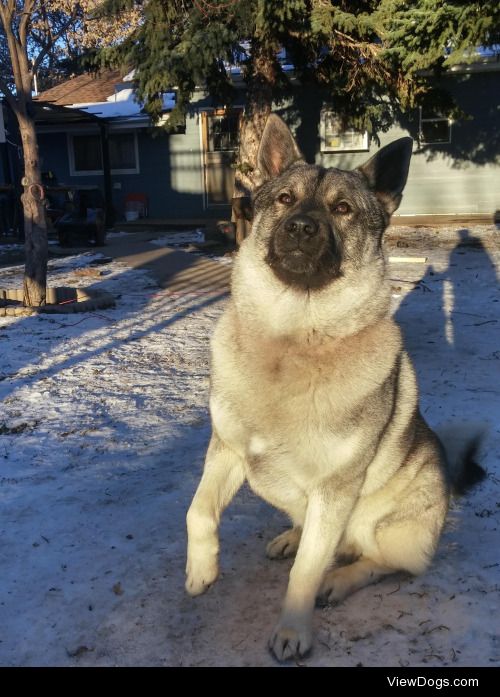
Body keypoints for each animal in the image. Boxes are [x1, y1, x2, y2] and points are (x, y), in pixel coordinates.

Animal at [185, 113, 484, 656]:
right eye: (285, 199)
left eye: (342, 209)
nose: (301, 228)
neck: (292, 340)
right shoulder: (226, 451)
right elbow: (198, 512)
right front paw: (201, 570)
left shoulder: (334, 491)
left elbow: (306, 572)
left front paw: (293, 629)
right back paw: (291, 536)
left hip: (388, 528)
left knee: (381, 563)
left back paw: (339, 580)